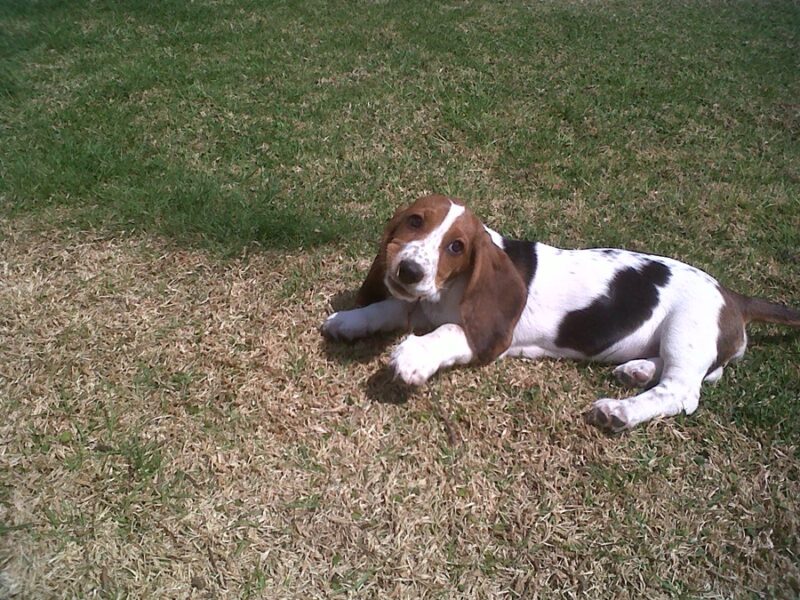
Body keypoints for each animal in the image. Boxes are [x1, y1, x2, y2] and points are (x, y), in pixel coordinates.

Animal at [322, 196, 796, 432]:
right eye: (415, 221)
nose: (409, 270)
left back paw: (621, 412)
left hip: (686, 328)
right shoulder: (425, 304)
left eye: (456, 246)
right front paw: (350, 321)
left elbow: (445, 334)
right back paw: (638, 370)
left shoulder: (485, 334)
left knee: (683, 392)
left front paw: (412, 358)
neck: (449, 289)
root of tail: (732, 295)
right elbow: (389, 306)